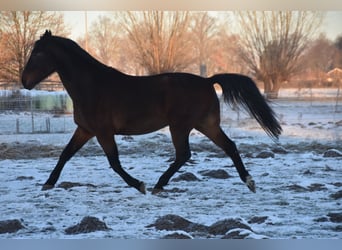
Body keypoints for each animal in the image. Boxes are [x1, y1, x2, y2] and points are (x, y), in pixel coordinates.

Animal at [22, 30, 284, 195]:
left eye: (37, 54)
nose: (24, 81)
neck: (92, 86)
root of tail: (208, 81)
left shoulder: (103, 132)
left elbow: (114, 162)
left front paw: (139, 185)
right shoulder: (85, 130)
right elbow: (65, 154)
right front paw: (47, 184)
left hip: (180, 126)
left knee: (184, 154)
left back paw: (159, 185)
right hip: (206, 124)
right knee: (229, 146)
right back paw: (249, 182)